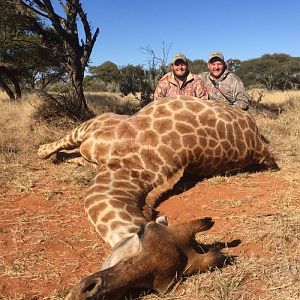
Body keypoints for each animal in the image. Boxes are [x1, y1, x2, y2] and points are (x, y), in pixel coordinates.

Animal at [38, 95, 278, 298]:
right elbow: (53, 148)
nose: (85, 294)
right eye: (142, 235)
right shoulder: (91, 128)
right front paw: (44, 152)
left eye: (154, 286)